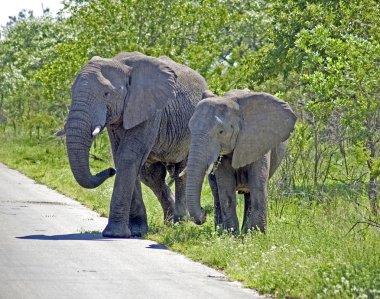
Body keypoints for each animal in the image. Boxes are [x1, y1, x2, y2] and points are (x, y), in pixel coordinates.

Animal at [65, 52, 208, 239]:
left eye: (106, 94)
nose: (110, 171)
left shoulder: (150, 108)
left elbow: (128, 157)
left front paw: (115, 234)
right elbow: (121, 157)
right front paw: (136, 231)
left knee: (181, 172)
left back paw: (180, 222)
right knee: (151, 176)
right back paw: (169, 222)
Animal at [185, 89, 296, 234]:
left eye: (221, 131)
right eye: (190, 129)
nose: (203, 214)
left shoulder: (259, 140)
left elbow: (258, 185)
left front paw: (258, 234)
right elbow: (225, 188)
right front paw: (231, 234)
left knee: (249, 194)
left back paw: (247, 231)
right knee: (216, 193)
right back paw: (221, 231)